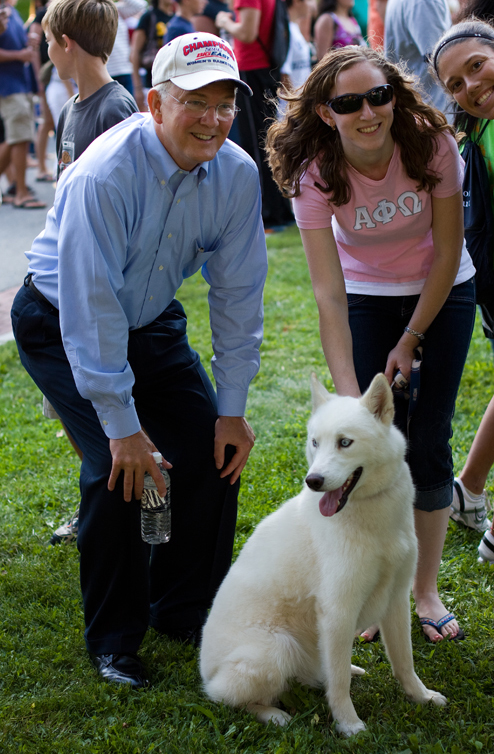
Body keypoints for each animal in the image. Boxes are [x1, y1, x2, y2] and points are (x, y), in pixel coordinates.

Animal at [201, 374, 448, 736]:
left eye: (345, 442)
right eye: (315, 443)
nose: (313, 481)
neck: (371, 515)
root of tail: (205, 673)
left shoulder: (397, 599)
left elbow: (404, 662)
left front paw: (422, 697)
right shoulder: (338, 611)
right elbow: (339, 683)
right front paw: (349, 725)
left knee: (318, 673)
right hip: (277, 647)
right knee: (229, 699)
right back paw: (273, 714)